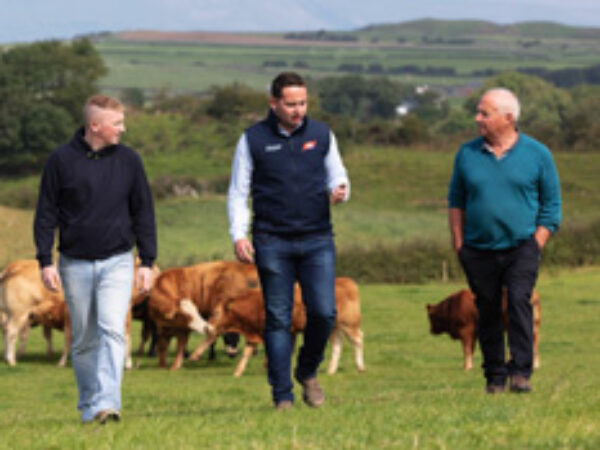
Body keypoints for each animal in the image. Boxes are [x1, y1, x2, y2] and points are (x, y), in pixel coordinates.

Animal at [190, 278, 366, 376]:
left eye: (216, 312)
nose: (207, 327)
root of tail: (346, 281)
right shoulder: (255, 333)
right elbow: (247, 353)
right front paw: (238, 372)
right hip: (333, 327)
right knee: (337, 345)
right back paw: (331, 370)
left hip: (349, 324)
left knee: (357, 340)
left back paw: (360, 366)